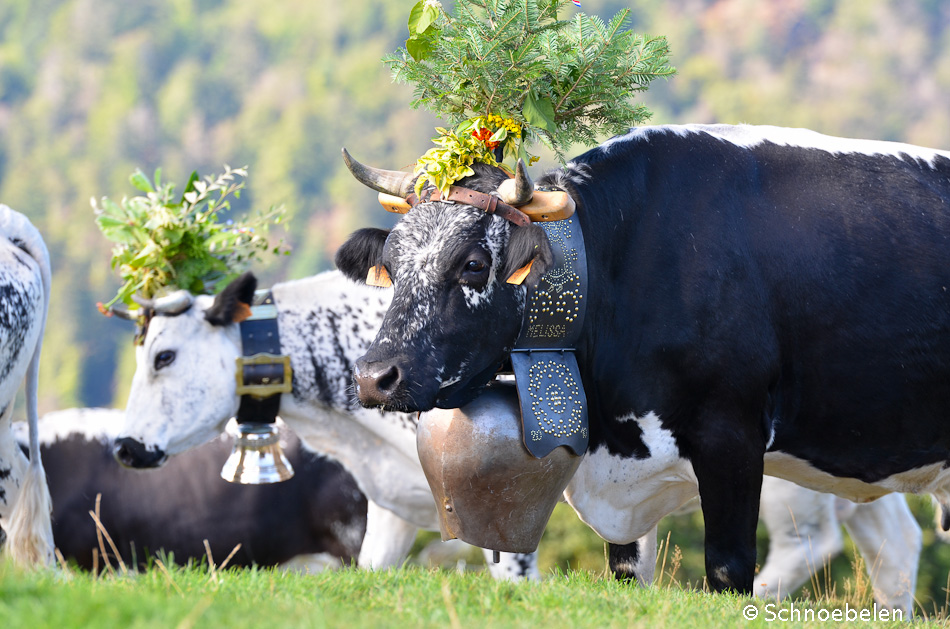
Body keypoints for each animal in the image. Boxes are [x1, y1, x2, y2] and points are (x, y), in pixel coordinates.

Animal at [334, 124, 950, 592]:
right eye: (391, 264)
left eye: (473, 263)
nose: (374, 376)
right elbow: (628, 571)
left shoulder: (732, 435)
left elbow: (728, 570)